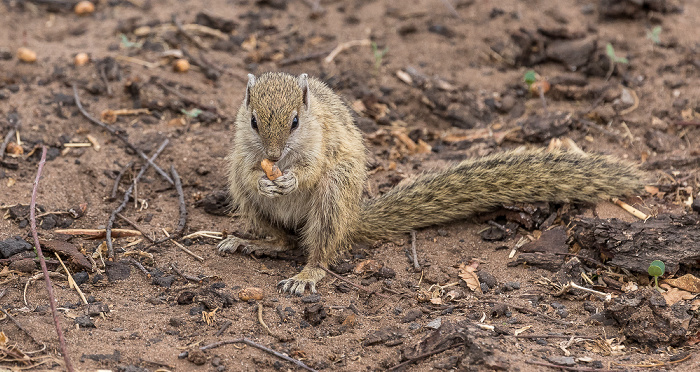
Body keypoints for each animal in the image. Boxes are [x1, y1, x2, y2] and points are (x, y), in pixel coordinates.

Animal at [217, 72, 640, 294]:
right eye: (253, 121)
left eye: (295, 122)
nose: (273, 155)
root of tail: (354, 219)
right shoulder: (243, 151)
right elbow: (250, 168)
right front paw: (264, 179)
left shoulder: (322, 145)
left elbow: (312, 169)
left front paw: (290, 180)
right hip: (242, 192)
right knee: (283, 239)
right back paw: (251, 241)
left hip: (335, 197)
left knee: (320, 248)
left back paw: (308, 273)